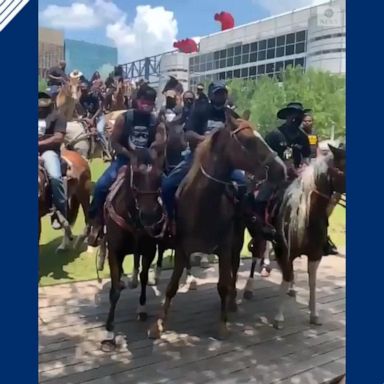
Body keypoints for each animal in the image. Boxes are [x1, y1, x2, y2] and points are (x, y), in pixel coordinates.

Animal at [101, 149, 167, 352]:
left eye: (160, 175)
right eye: (135, 175)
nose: (150, 216)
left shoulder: (149, 250)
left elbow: (145, 277)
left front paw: (142, 308)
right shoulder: (114, 252)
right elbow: (114, 291)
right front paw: (109, 332)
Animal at [148, 109, 286, 340]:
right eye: (248, 141)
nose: (282, 170)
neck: (202, 203)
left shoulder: (223, 248)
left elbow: (222, 285)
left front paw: (223, 324)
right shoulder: (182, 248)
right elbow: (172, 286)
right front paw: (158, 324)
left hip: (237, 240)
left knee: (234, 267)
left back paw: (232, 301)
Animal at [244, 146, 346, 328]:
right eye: (343, 168)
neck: (305, 212)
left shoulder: (315, 255)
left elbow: (311, 282)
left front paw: (314, 314)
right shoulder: (285, 252)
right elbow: (285, 278)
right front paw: (278, 317)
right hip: (257, 234)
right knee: (257, 254)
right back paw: (249, 287)